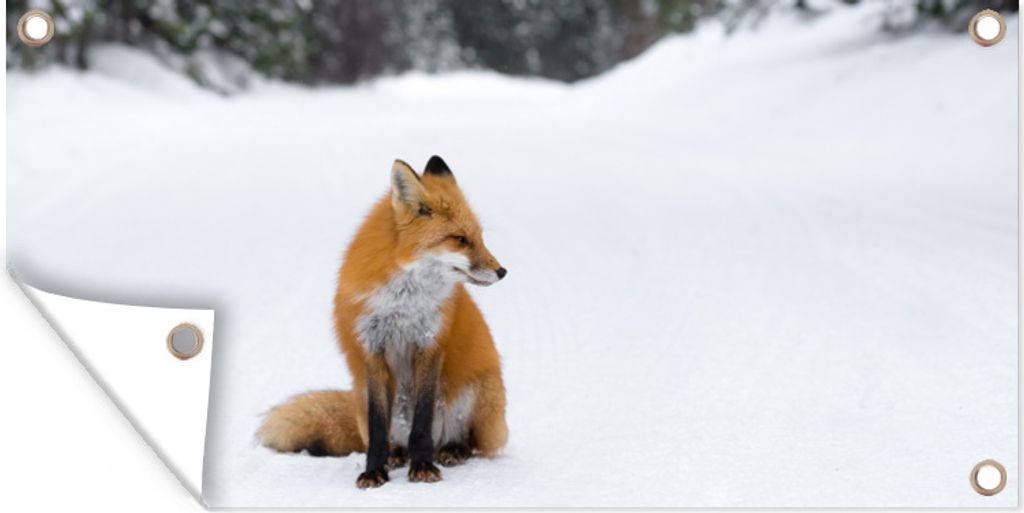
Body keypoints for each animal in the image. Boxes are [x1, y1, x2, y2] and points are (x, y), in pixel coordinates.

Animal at [257, 156, 509, 488]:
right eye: (460, 239)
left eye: (480, 238)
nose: (503, 271)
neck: (402, 303)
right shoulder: (372, 348)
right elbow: (378, 428)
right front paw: (375, 470)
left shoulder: (429, 345)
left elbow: (422, 422)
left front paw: (422, 467)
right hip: (363, 394)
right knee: (390, 437)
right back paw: (397, 454)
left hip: (476, 393)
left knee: (468, 442)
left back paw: (451, 450)